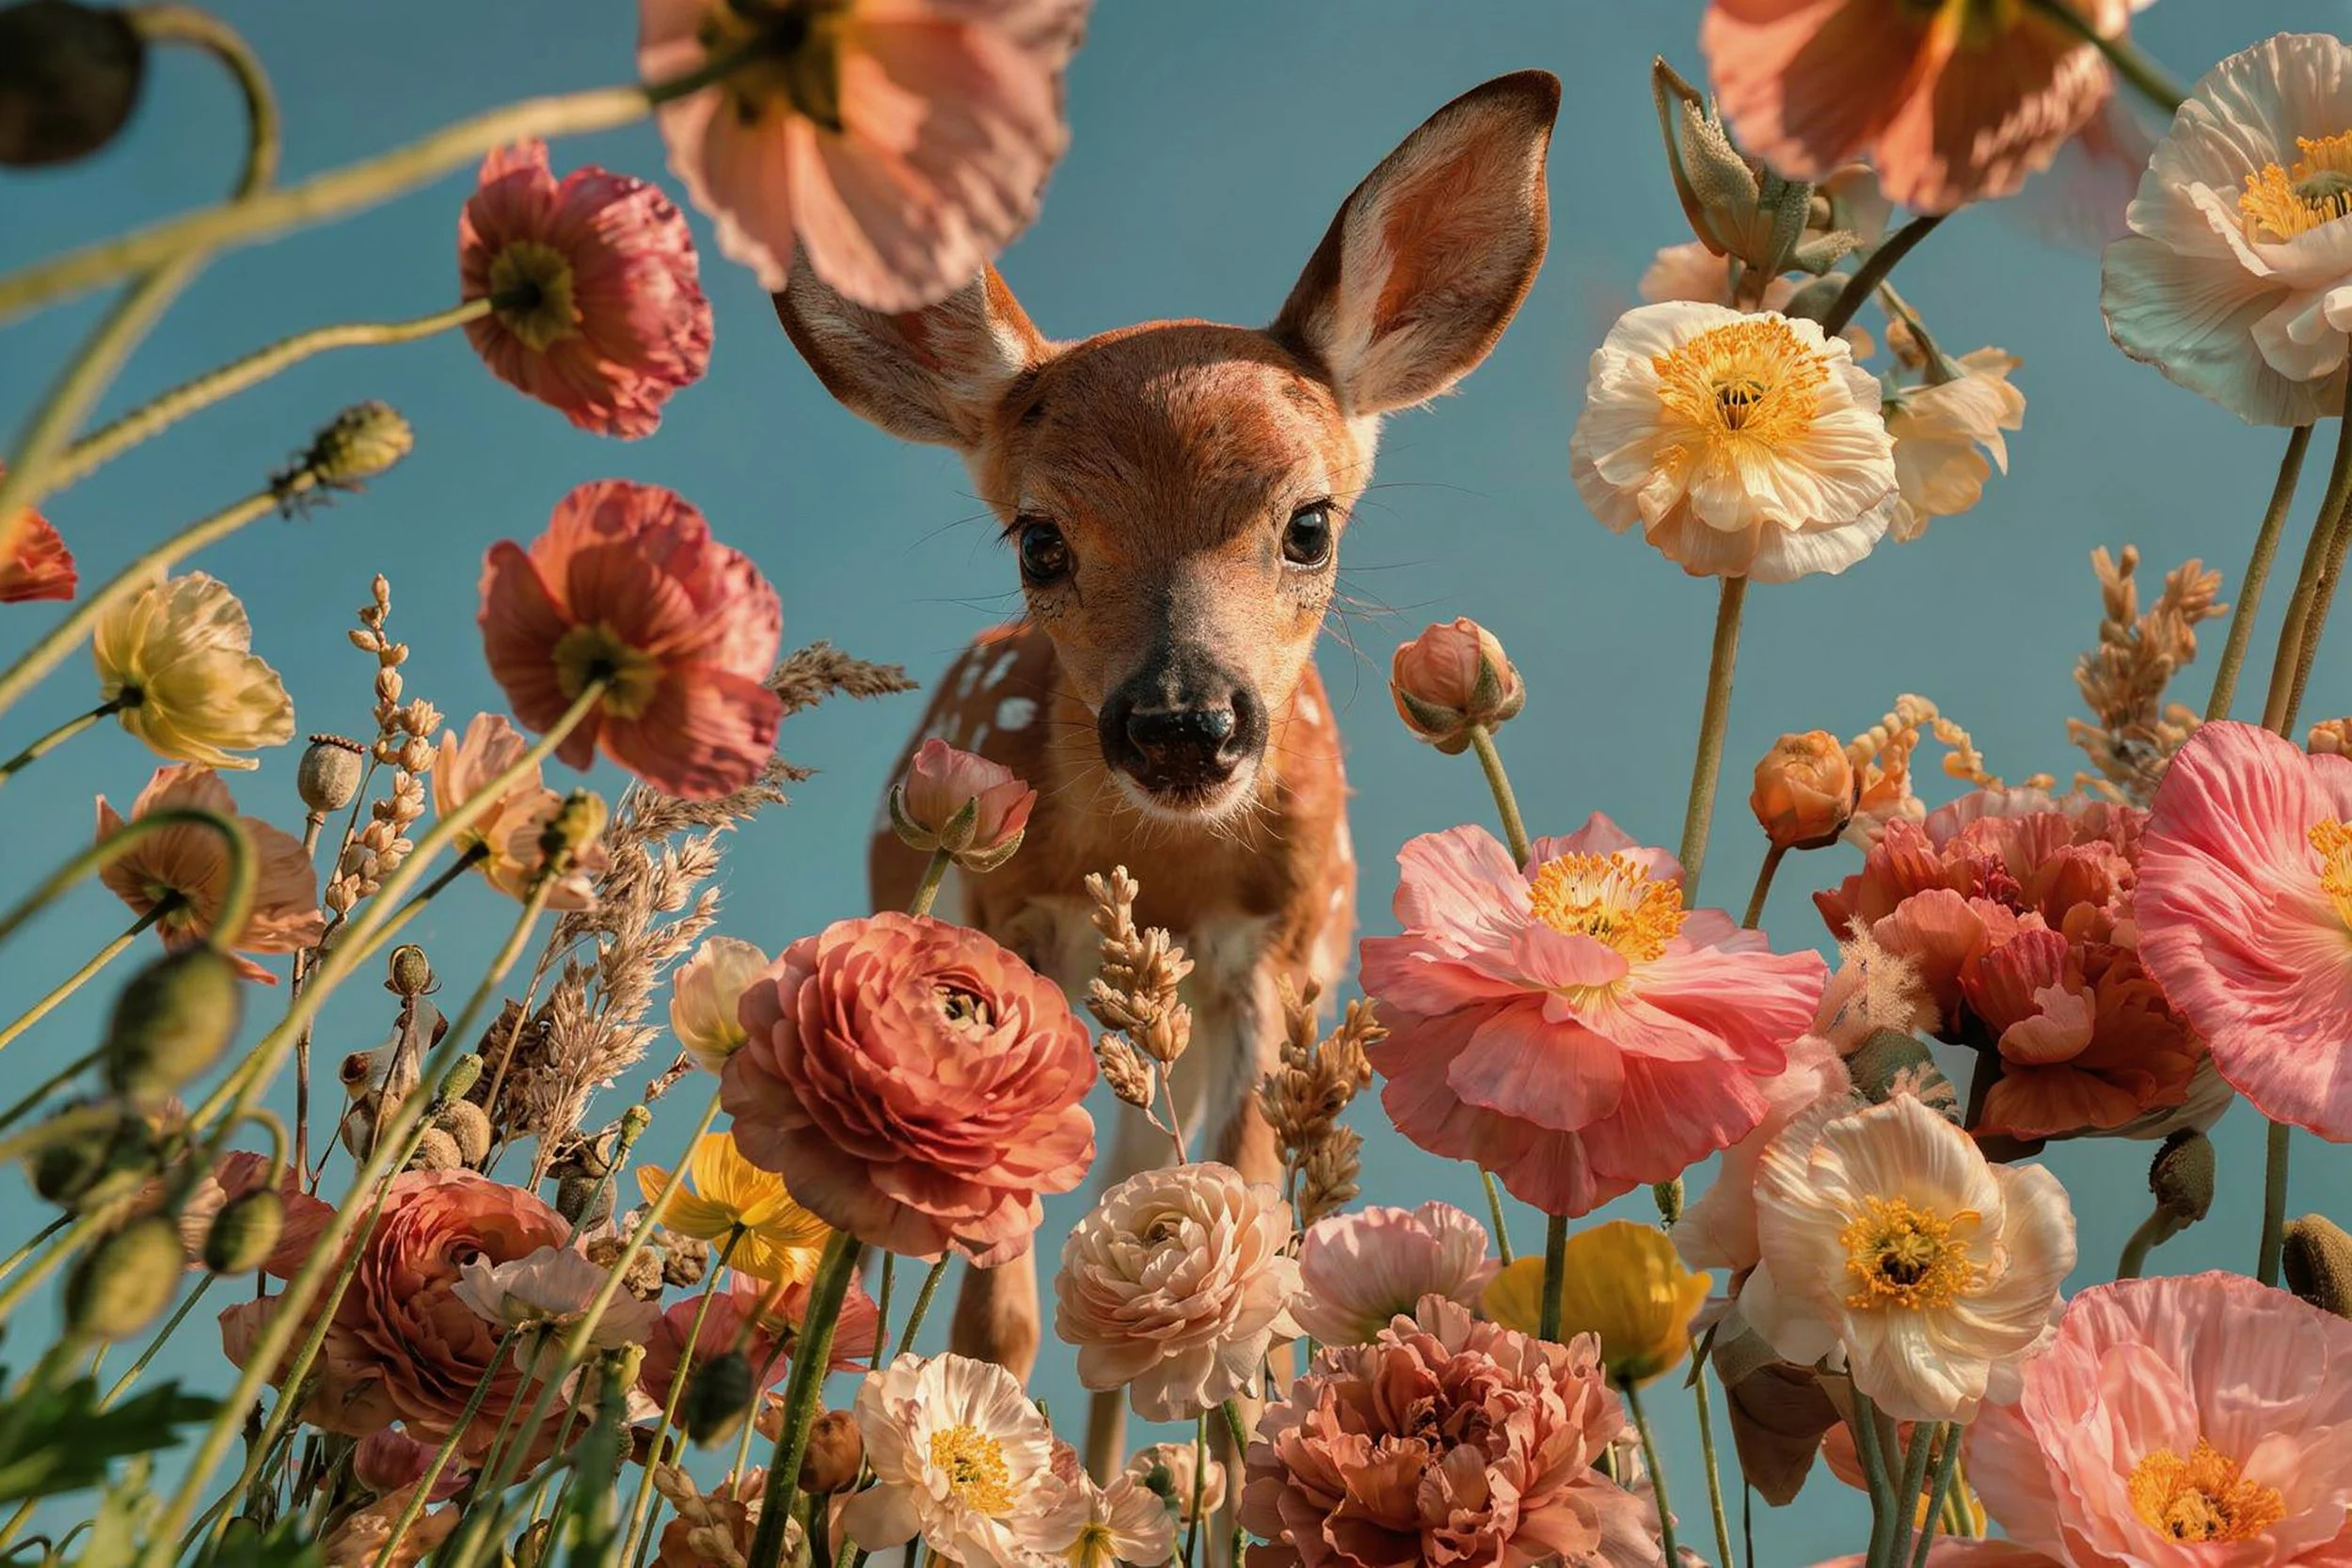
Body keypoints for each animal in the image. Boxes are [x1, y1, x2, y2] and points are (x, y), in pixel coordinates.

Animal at [772, 69, 1560, 1476]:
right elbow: (1001, 1307)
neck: (1167, 869)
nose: (1184, 722)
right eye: (1038, 538)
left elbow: (1241, 1248)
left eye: (1310, 524)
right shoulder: (1008, 928)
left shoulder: (1276, 960)